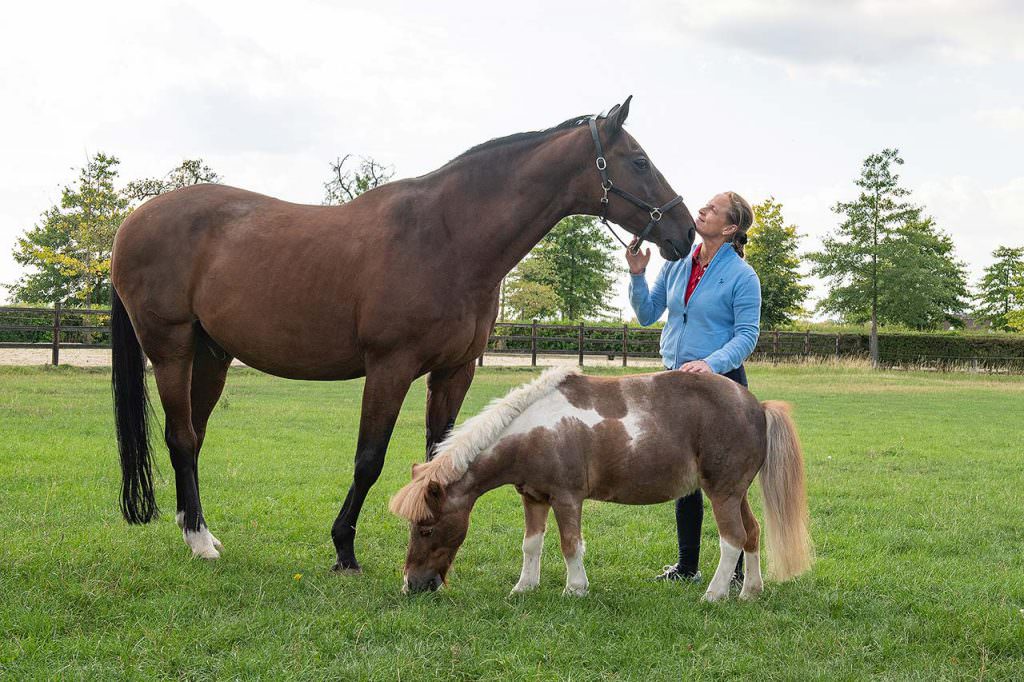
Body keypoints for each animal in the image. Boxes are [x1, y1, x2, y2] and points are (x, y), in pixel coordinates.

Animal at [110, 94, 696, 569]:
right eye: (639, 161)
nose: (685, 231)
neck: (448, 237)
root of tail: (134, 220)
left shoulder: (453, 372)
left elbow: (442, 455)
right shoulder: (389, 367)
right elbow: (368, 459)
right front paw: (344, 548)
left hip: (211, 356)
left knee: (193, 439)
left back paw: (197, 531)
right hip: (172, 349)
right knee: (181, 437)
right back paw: (200, 542)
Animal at [387, 366, 811, 602]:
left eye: (426, 528)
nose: (411, 585)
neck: (535, 430)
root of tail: (757, 407)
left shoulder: (566, 498)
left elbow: (570, 545)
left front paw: (575, 589)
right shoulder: (533, 498)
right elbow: (531, 545)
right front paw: (524, 588)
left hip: (722, 494)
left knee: (732, 539)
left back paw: (715, 595)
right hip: (737, 493)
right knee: (752, 534)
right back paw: (749, 592)